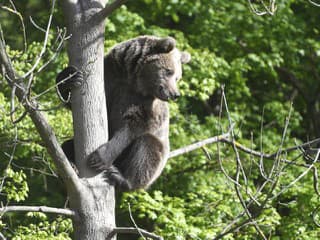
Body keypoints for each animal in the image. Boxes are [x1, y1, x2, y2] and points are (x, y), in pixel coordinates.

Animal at [56, 34, 190, 190]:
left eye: (177, 77)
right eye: (169, 71)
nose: (175, 94)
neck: (133, 79)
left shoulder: (145, 103)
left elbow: (134, 126)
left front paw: (99, 158)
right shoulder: (110, 78)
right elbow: (74, 101)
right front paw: (70, 78)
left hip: (155, 159)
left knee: (148, 147)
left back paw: (122, 177)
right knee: (67, 145)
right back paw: (71, 164)